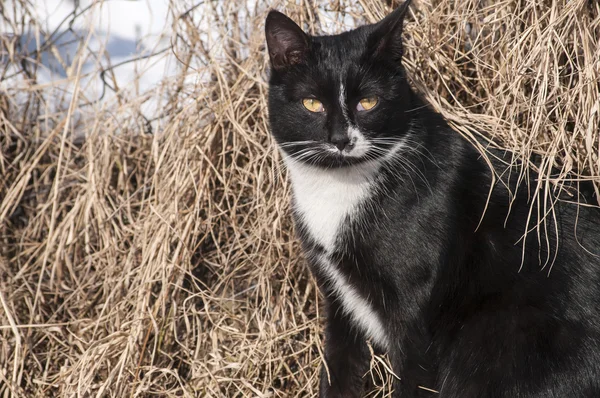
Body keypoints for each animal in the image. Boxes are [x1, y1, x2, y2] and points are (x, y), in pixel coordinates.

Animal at [264, 1, 600, 396]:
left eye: (368, 102)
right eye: (312, 103)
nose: (341, 139)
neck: (339, 188)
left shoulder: (413, 308)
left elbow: (414, 377)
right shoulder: (337, 299)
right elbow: (338, 370)